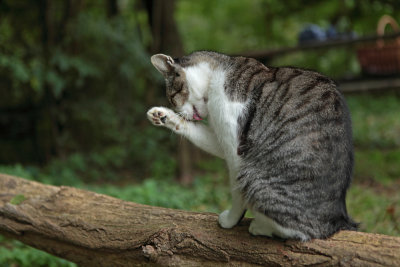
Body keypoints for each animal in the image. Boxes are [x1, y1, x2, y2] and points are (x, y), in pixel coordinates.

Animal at [146, 51, 356, 242]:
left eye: (173, 95)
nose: (183, 113)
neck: (217, 73)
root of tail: (337, 220)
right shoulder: (223, 140)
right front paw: (162, 116)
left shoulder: (236, 150)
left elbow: (237, 194)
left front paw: (231, 220)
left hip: (254, 178)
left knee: (302, 231)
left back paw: (260, 227)